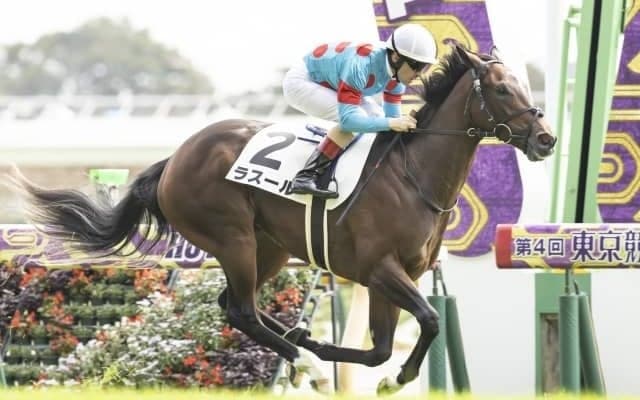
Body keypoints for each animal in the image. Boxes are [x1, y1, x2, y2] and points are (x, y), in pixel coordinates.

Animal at [9, 43, 556, 394]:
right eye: (502, 91)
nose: (547, 139)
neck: (413, 175)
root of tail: (175, 158)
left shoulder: (397, 276)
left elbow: (381, 346)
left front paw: (369, 369)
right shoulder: (380, 269)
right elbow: (428, 319)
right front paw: (393, 377)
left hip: (268, 246)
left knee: (234, 304)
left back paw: (301, 344)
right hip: (233, 239)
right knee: (241, 311)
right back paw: (306, 361)